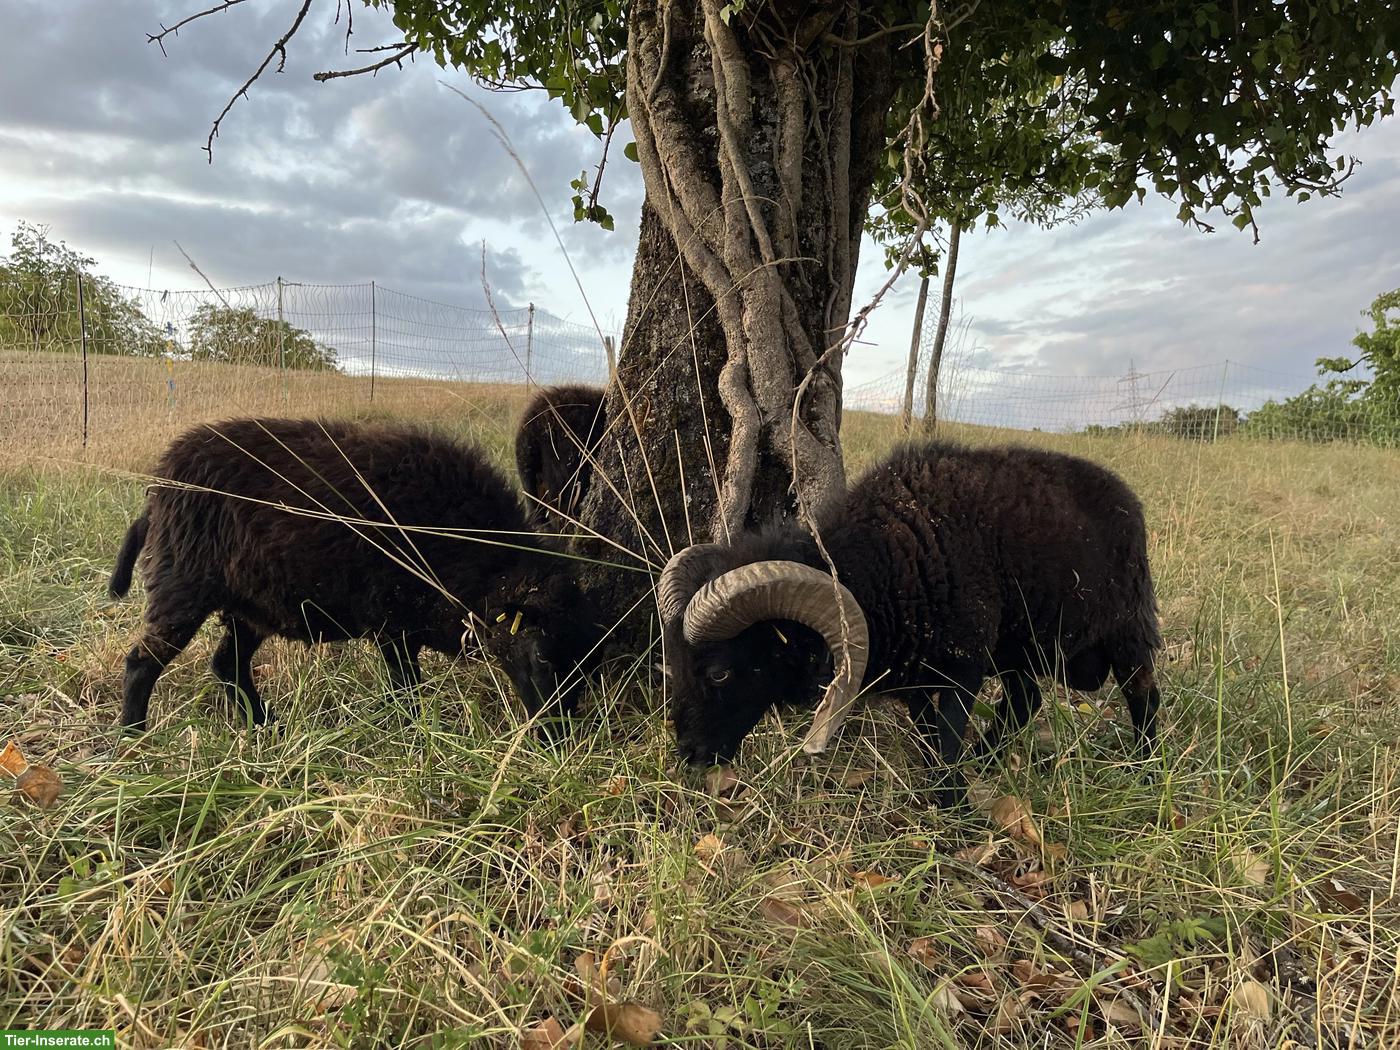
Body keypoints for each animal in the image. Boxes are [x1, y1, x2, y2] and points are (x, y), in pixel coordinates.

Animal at [109, 417, 603, 732]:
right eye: (543, 658)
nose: (559, 737)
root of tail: (157, 492)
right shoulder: (393, 624)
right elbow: (406, 686)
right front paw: (412, 732)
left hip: (251, 605)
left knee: (228, 664)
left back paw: (266, 726)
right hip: (182, 586)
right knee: (141, 662)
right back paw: (134, 737)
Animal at [658, 441, 1162, 805]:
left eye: (720, 673)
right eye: (673, 663)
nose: (689, 754)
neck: (884, 562)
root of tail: (1126, 497)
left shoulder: (962, 667)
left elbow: (948, 735)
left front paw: (954, 810)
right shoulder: (917, 678)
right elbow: (930, 737)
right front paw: (944, 787)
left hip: (1129, 626)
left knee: (1144, 695)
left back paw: (1147, 772)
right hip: (1018, 645)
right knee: (1026, 699)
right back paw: (986, 761)